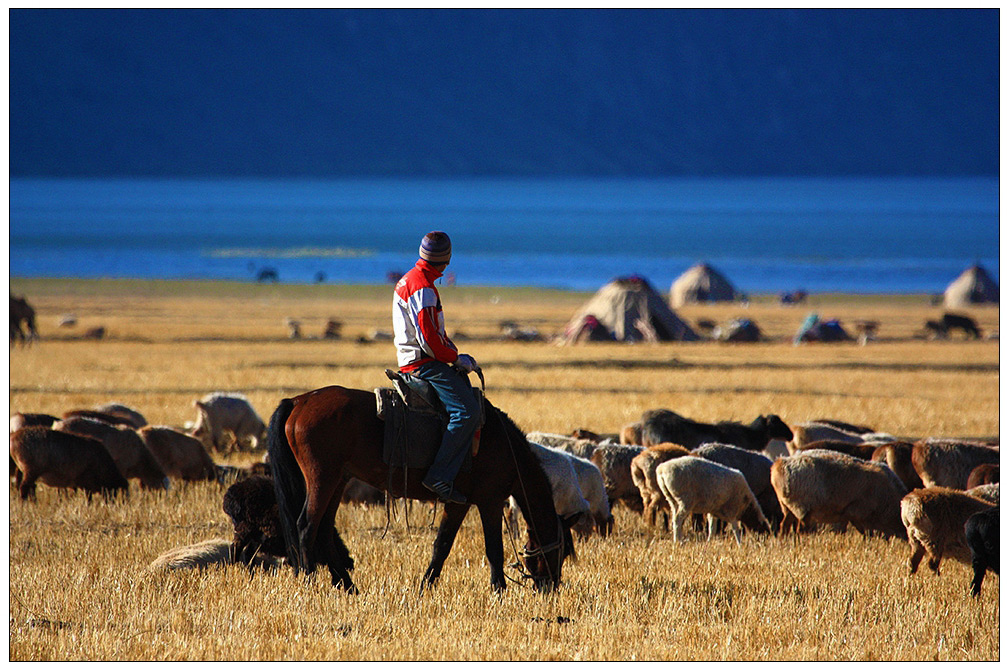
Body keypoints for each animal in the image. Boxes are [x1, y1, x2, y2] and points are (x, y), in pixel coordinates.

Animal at [267, 384, 580, 592]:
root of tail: (299, 401)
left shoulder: (458, 503)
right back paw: (310, 582)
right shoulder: (489, 501)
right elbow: (494, 548)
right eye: (563, 552)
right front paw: (498, 590)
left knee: (323, 530)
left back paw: (346, 585)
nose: (550, 588)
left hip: (338, 481)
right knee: (307, 526)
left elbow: (442, 545)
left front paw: (425, 586)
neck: (504, 445)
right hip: (322, 478)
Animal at [765, 449, 910, 540]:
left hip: (787, 507)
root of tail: (780, 464)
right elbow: (867, 534)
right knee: (800, 529)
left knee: (784, 526)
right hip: (802, 507)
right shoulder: (858, 512)